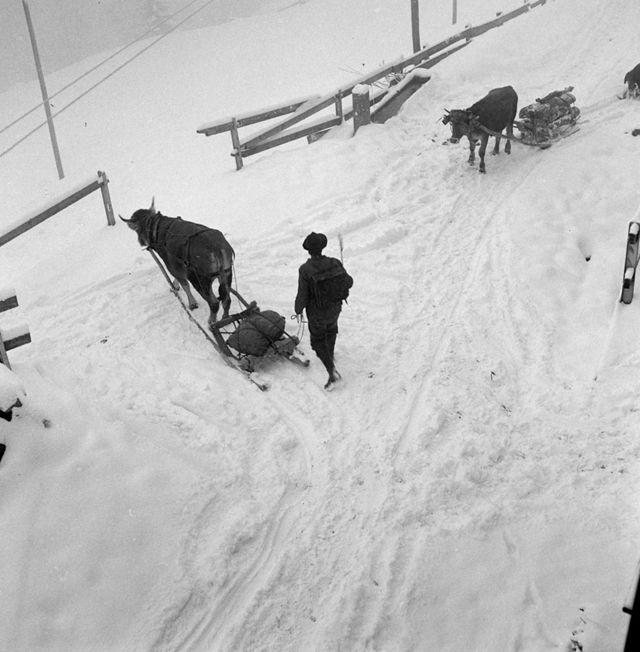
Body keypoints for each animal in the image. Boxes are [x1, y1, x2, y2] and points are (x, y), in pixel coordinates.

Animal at [120, 199, 235, 327]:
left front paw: (192, 303)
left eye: (136, 229)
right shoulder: (176, 265)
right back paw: (225, 317)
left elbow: (184, 285)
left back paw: (212, 321)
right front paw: (175, 286)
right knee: (226, 299)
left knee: (214, 303)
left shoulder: (170, 265)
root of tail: (217, 249)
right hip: (226, 274)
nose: (140, 242)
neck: (155, 230)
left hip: (199, 279)